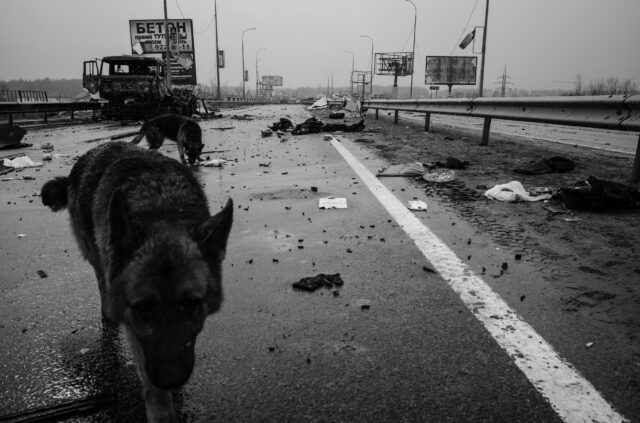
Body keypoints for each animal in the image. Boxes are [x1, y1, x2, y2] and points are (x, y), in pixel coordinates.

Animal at [41, 142, 234, 423]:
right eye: (144, 308)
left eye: (191, 303)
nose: (171, 379)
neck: (163, 209)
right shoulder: (135, 326)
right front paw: (161, 411)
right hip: (96, 255)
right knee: (102, 282)